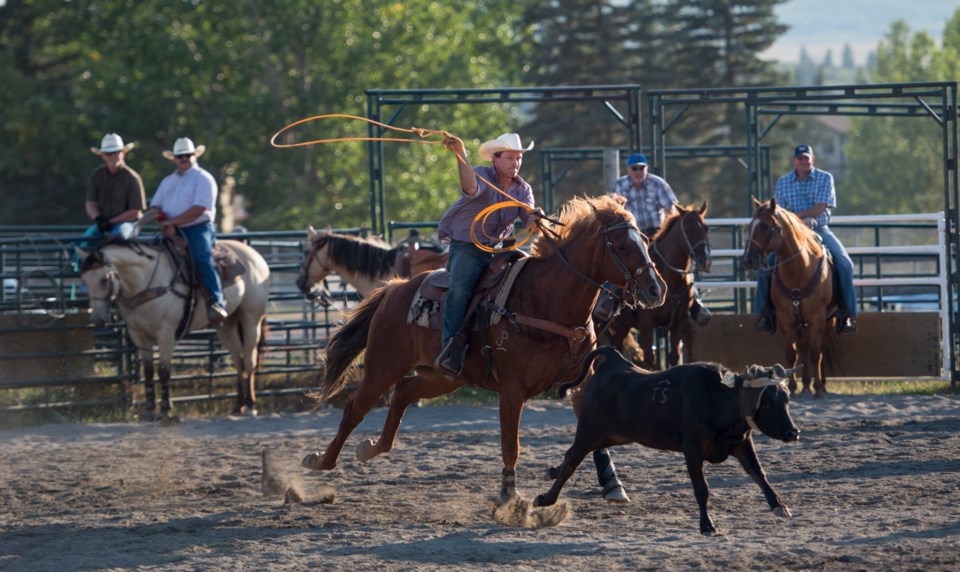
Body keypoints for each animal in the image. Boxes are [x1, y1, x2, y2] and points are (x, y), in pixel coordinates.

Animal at [73, 239, 270, 418]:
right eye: (85, 280)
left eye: (103, 279)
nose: (97, 319)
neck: (146, 282)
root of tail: (253, 253)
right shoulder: (138, 334)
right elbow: (148, 370)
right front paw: (149, 410)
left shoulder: (166, 334)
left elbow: (164, 370)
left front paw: (165, 409)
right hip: (227, 325)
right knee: (239, 361)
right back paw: (238, 406)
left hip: (251, 319)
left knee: (249, 360)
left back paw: (250, 406)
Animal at [302, 196, 668, 500]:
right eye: (622, 245)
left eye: (645, 241)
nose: (656, 289)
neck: (547, 300)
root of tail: (393, 289)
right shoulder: (512, 389)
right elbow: (511, 446)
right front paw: (509, 495)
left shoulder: (581, 383)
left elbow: (590, 435)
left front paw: (613, 484)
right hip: (383, 365)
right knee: (355, 409)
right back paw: (320, 461)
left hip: (443, 376)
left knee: (404, 393)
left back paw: (370, 448)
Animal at [604, 203, 708, 368]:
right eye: (687, 229)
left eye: (706, 228)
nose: (705, 260)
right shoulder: (646, 323)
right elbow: (649, 358)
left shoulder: (679, 323)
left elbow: (674, 357)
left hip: (621, 326)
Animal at [740, 197, 836, 398]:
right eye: (750, 225)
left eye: (766, 226)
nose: (747, 260)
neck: (799, 269)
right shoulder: (786, 318)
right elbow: (792, 354)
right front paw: (791, 388)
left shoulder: (817, 318)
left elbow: (815, 353)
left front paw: (818, 390)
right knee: (803, 348)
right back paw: (805, 386)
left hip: (828, 321)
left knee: (820, 349)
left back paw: (821, 385)